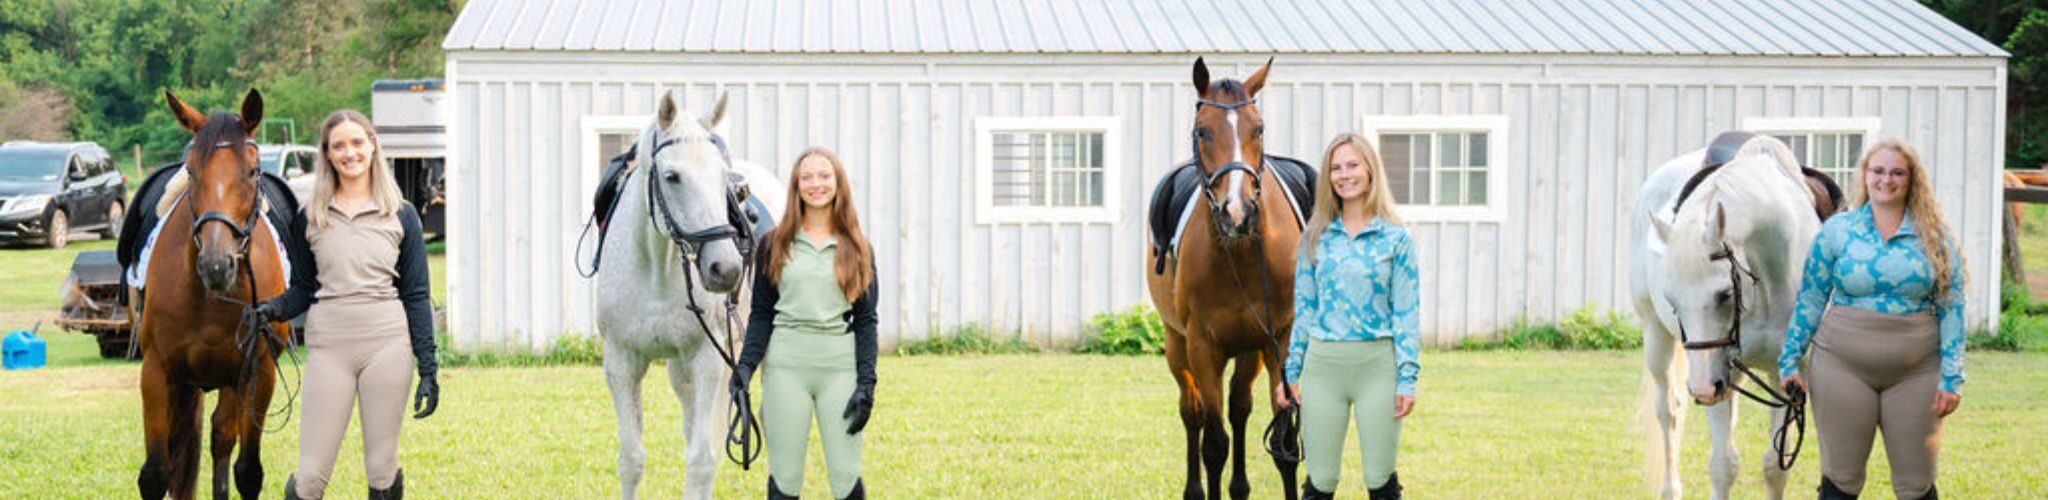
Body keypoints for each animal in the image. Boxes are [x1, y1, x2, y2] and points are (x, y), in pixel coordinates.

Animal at [134, 90, 290, 500]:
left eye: (252, 171)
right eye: (191, 172)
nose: (217, 265)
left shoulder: (256, 371)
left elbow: (247, 471)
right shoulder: (157, 372)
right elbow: (156, 474)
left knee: (222, 440)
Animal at [598, 90, 786, 500]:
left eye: (723, 179)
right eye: (672, 177)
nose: (726, 269)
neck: (655, 269)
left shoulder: (706, 361)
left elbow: (700, 461)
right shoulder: (621, 362)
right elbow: (631, 459)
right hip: (681, 372)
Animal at [1146, 57, 1302, 500]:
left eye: (1259, 128)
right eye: (1202, 131)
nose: (1238, 212)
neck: (1241, 253)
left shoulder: (1279, 342)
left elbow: (1284, 444)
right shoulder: (1202, 347)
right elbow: (1214, 444)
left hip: (1250, 351)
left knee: (1240, 408)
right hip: (1177, 346)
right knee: (1193, 413)